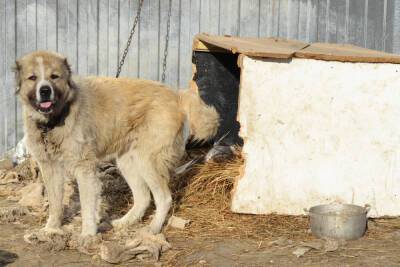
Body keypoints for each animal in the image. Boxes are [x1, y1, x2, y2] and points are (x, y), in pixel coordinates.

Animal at [14, 51, 219, 240]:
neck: (53, 121)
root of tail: (175, 94)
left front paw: (87, 235)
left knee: (164, 198)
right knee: (143, 198)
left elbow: (87, 205)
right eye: (33, 78)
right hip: (127, 162)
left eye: (54, 76)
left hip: (147, 161)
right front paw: (51, 229)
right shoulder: (50, 166)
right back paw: (125, 222)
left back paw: (153, 228)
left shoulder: (84, 168)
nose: (45, 91)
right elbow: (55, 203)